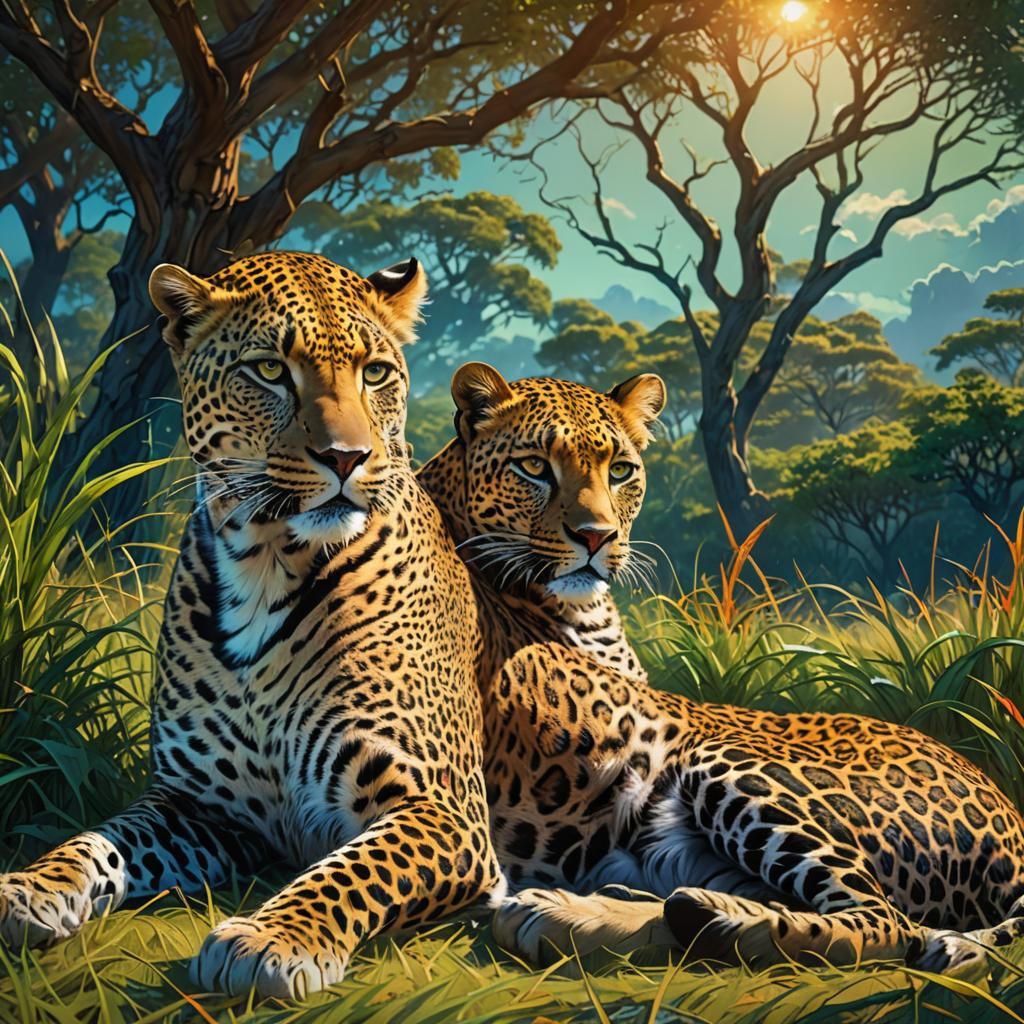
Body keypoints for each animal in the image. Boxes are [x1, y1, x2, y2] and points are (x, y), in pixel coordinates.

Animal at [0, 252, 505, 1000]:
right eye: (270, 370)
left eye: (375, 373)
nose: (348, 457)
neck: (266, 566)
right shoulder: (200, 805)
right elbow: (97, 840)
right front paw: (31, 886)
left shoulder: (445, 809)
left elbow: (348, 871)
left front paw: (272, 938)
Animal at [417, 361, 1024, 976]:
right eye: (535, 467)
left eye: (620, 471)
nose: (596, 537)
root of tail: (1008, 811)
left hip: (726, 760)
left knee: (885, 919)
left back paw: (665, 919)